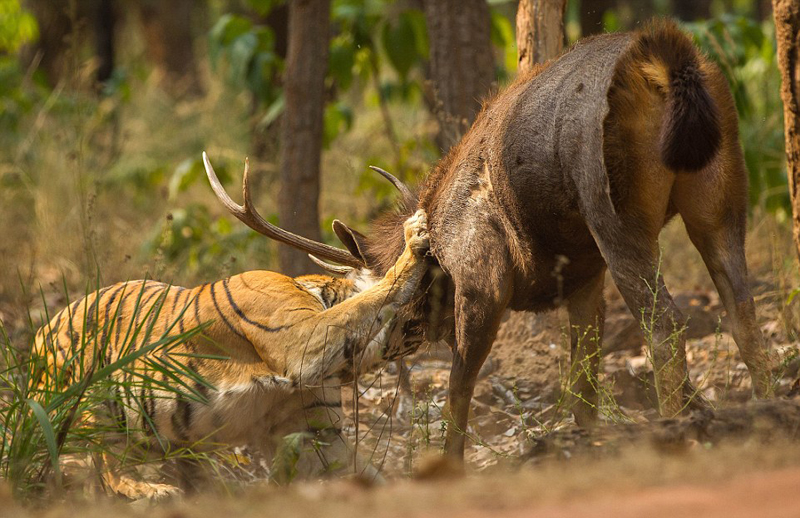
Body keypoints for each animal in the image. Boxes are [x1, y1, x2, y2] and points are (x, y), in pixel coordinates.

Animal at [31, 157, 430, 500]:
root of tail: (40, 334)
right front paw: (414, 238)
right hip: (89, 402)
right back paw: (156, 491)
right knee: (100, 466)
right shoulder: (302, 343)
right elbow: (373, 295)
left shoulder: (316, 433)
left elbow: (374, 476)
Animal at [228, 20, 774, 462]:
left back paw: (677, 429)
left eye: (382, 300)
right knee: (742, 310)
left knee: (665, 325)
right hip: (721, 197)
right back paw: (764, 410)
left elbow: (459, 388)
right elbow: (583, 385)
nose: (356, 361)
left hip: (615, 214)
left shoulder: (483, 279)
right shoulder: (582, 277)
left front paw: (448, 464)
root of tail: (665, 62)